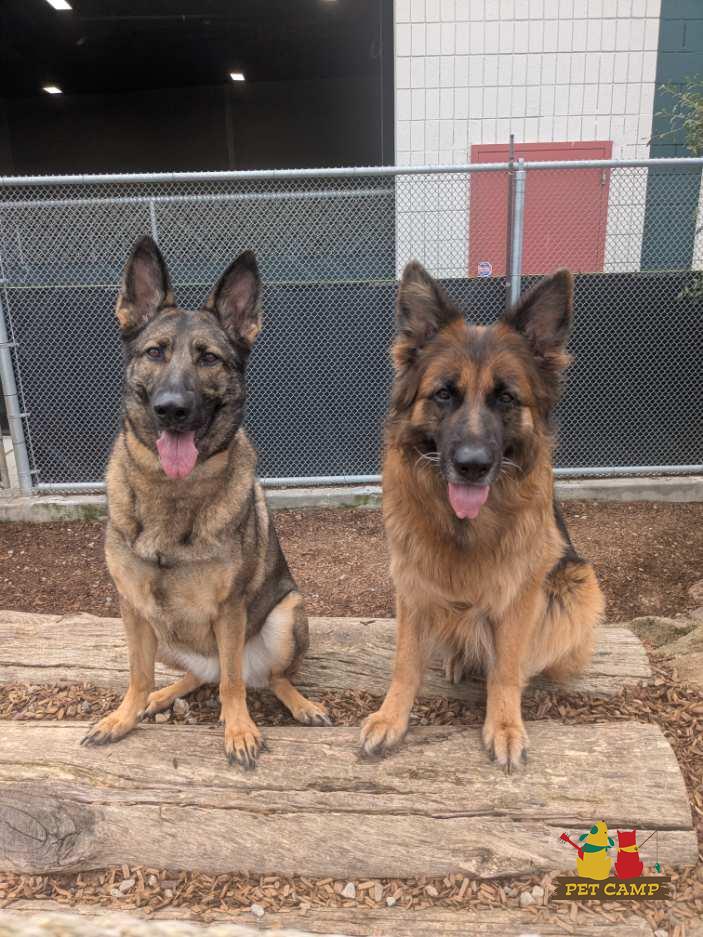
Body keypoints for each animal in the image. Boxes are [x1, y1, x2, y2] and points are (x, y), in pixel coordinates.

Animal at [82, 236, 330, 767]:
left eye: (209, 359)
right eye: (155, 352)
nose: (171, 409)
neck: (174, 492)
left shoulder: (230, 610)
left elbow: (233, 685)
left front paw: (238, 730)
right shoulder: (133, 608)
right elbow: (136, 673)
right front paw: (123, 716)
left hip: (286, 614)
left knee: (261, 676)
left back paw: (301, 704)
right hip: (165, 633)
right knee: (201, 674)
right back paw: (161, 696)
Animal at [360, 261, 604, 771]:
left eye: (506, 398)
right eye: (444, 394)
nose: (471, 465)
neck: (465, 527)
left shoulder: (520, 591)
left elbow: (506, 667)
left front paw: (505, 726)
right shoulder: (412, 583)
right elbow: (405, 662)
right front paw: (391, 718)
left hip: (576, 585)